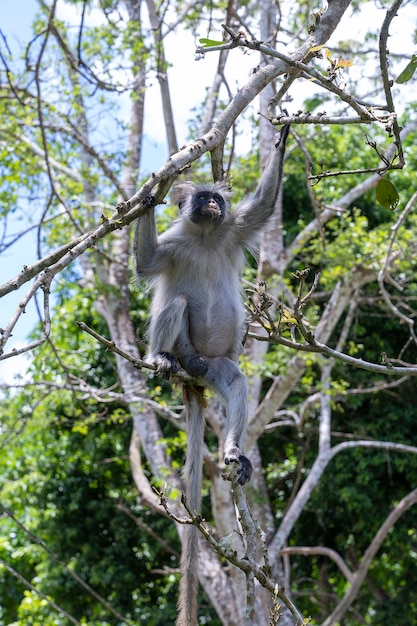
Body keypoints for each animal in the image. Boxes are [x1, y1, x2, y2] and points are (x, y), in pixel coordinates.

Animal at [134, 124, 290, 620]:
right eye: (203, 198)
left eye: (216, 200)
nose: (213, 205)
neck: (204, 235)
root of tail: (193, 376)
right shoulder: (175, 242)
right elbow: (146, 264)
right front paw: (149, 197)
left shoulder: (233, 229)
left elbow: (261, 209)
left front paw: (283, 137)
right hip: (185, 350)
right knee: (177, 302)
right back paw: (162, 359)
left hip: (213, 367)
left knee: (235, 380)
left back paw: (234, 452)